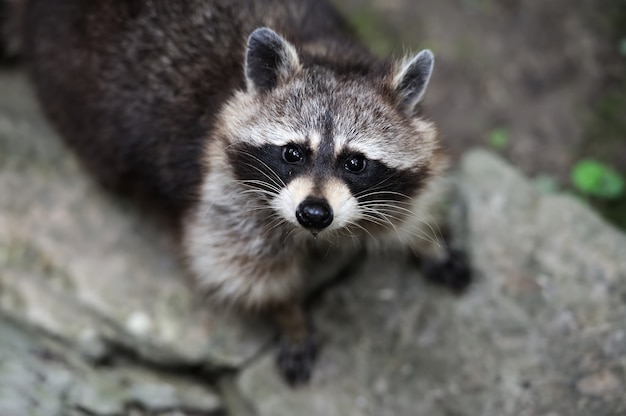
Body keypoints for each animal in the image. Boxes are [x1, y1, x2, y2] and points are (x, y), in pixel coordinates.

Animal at [20, 0, 468, 384]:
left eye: (354, 162)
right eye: (293, 153)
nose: (314, 214)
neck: (328, 57)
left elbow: (410, 201)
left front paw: (427, 239)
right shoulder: (221, 190)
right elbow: (242, 269)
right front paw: (288, 315)